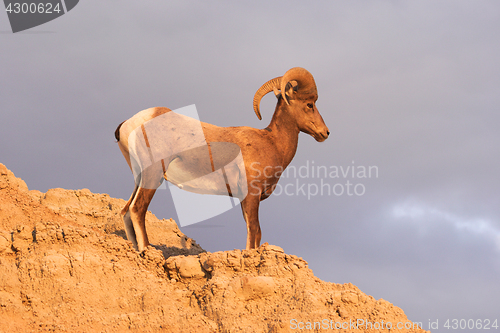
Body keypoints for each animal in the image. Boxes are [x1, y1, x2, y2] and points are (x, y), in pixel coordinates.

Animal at [115, 67, 330, 252]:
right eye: (309, 104)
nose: (325, 133)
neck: (272, 142)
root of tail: (128, 124)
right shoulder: (251, 195)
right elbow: (254, 231)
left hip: (141, 177)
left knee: (126, 211)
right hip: (153, 175)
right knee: (137, 209)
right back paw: (147, 250)